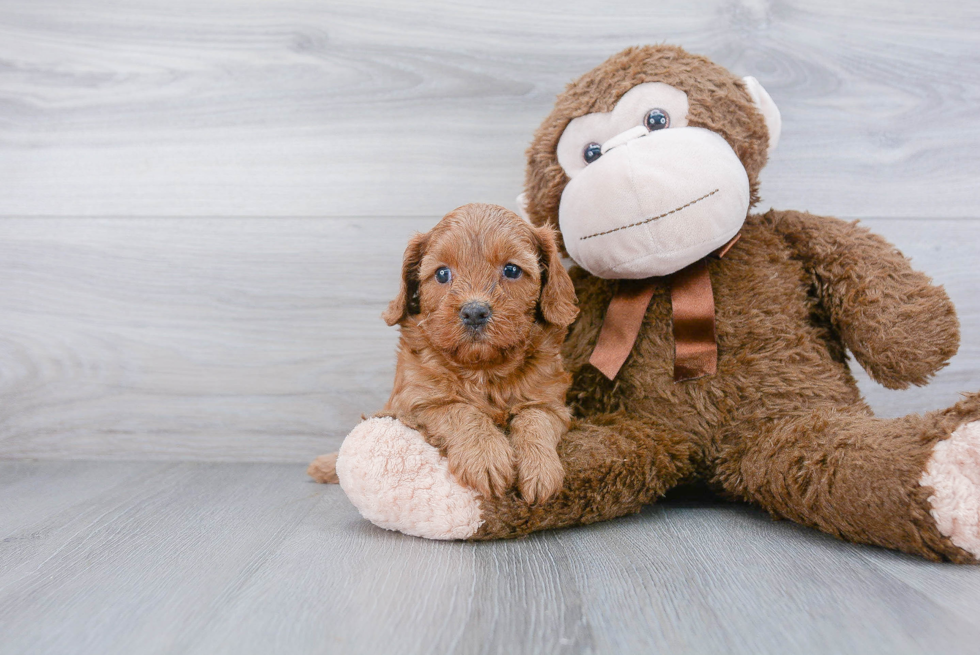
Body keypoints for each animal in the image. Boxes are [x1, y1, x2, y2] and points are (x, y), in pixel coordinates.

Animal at [310, 205, 580, 502]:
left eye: (511, 270)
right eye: (442, 274)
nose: (474, 311)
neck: (483, 369)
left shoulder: (552, 403)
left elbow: (535, 418)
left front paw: (540, 468)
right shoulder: (415, 402)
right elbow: (459, 409)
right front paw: (485, 457)